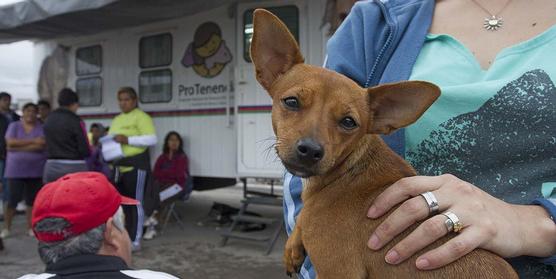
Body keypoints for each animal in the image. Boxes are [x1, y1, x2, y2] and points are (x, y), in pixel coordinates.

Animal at [250, 8, 520, 279]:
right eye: (291, 102)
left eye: (348, 122)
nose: (310, 151)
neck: (346, 173)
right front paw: (293, 246)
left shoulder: (339, 272)